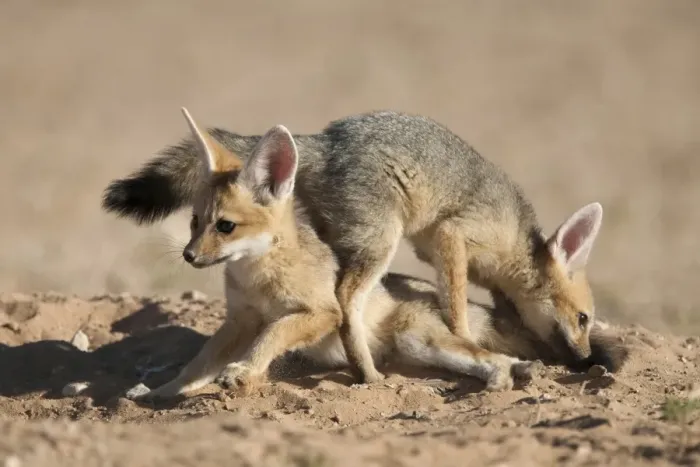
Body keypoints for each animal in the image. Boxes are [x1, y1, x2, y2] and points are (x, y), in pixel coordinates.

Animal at [125, 109, 628, 401]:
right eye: (584, 318)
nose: (584, 358)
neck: (518, 247)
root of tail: (325, 139)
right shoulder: (452, 237)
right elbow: (460, 311)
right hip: (382, 245)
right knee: (350, 301)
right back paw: (367, 367)